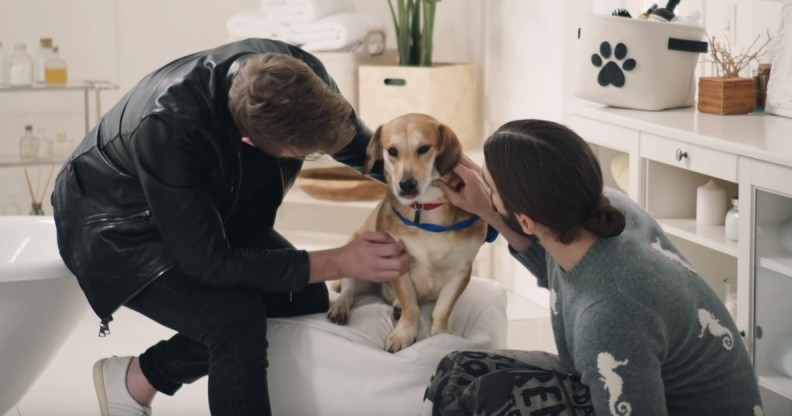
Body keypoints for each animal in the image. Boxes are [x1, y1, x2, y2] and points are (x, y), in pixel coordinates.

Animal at [326, 113, 488, 352]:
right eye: (392, 151)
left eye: (424, 148)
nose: (407, 184)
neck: (426, 206)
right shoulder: (397, 262)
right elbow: (410, 306)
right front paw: (404, 334)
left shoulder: (461, 271)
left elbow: (443, 309)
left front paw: (442, 334)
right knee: (349, 290)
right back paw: (340, 308)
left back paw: (395, 306)